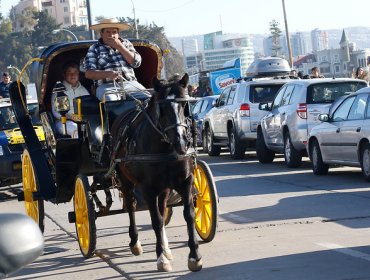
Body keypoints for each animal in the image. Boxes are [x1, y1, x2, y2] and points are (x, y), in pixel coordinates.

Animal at [110, 72, 202, 272]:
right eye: (163, 108)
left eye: (184, 105)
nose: (181, 142)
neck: (166, 148)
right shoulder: (147, 188)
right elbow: (156, 221)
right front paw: (161, 259)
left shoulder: (185, 181)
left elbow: (189, 214)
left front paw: (194, 256)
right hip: (125, 180)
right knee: (131, 206)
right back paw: (135, 242)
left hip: (165, 187)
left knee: (162, 207)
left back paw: (166, 248)